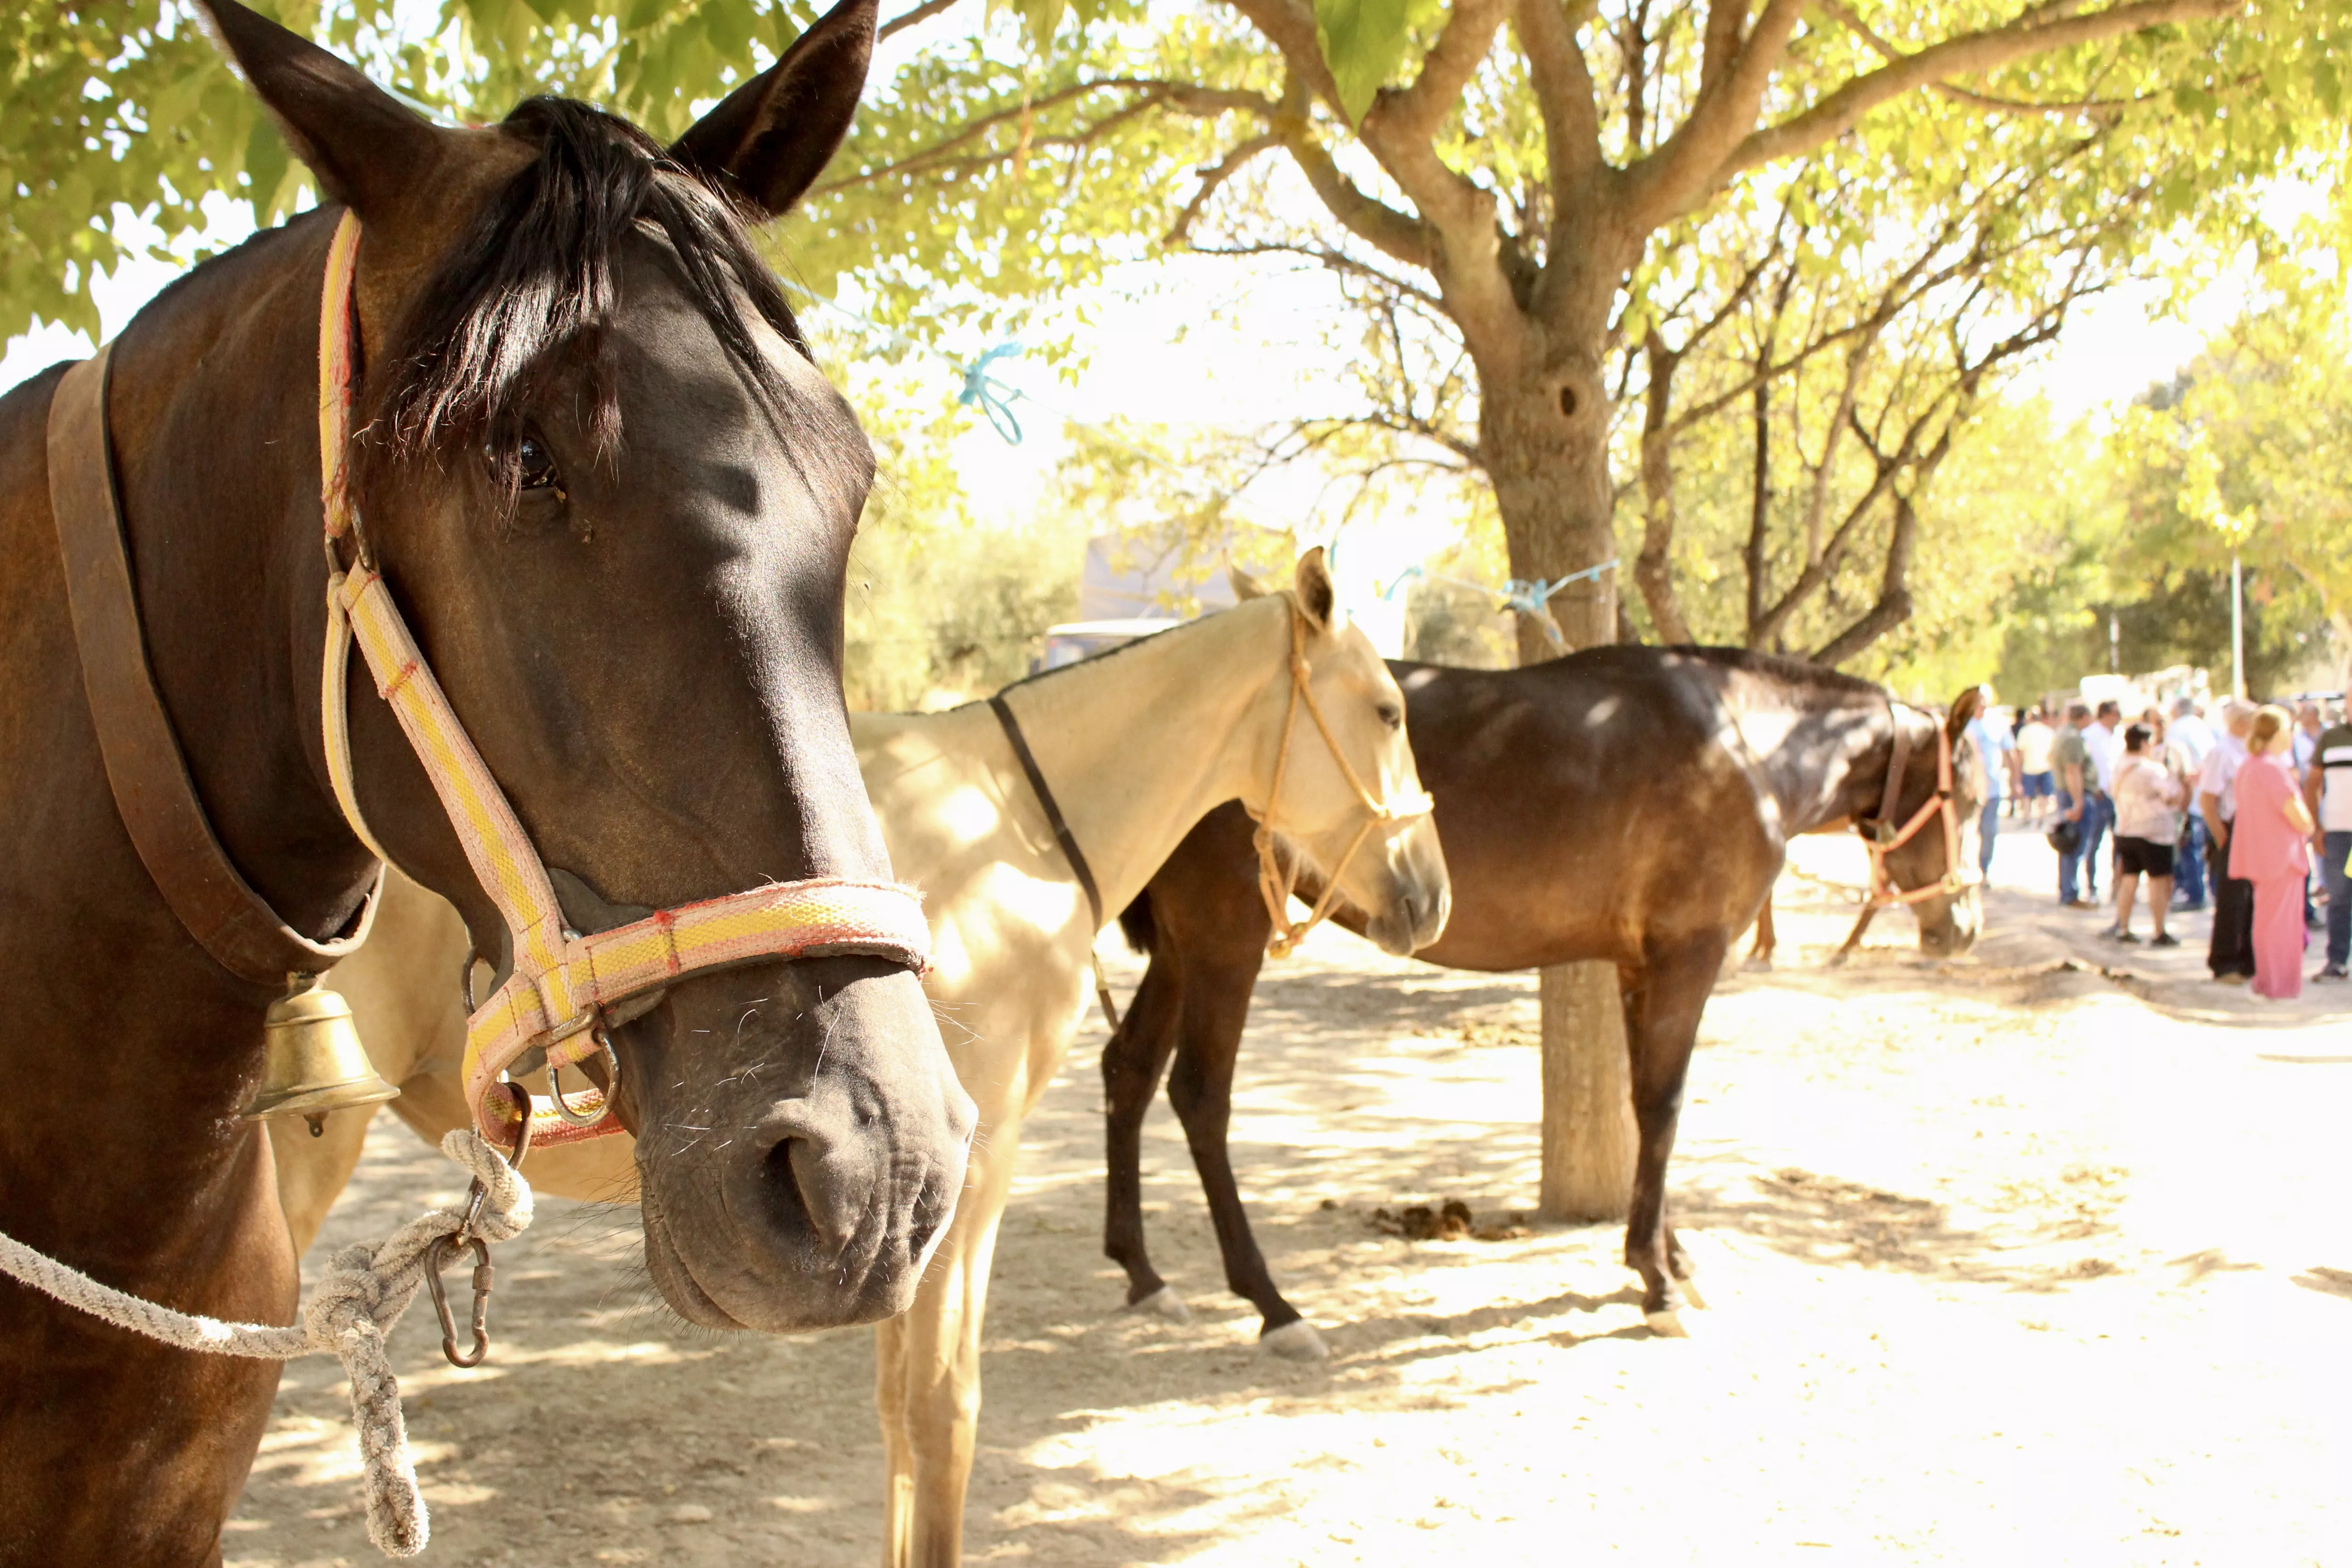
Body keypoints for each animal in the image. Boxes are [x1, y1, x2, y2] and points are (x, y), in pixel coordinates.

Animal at [282, 554, 1439, 1568]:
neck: (1013, 828)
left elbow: (898, 1407)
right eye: (1389, 709)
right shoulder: (972, 1168)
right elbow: (944, 1410)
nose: (1430, 892)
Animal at [1101, 644, 1985, 1354]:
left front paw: (1670, 1255)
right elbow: (1664, 1106)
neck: (1744, 744)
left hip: (1181, 949)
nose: (1964, 925)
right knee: (1199, 1096)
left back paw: (1143, 1275)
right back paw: (1274, 1305)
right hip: (1225, 940)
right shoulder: (1688, 956)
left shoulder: (1638, 966)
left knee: (1128, 1070)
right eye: (1973, 798)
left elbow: (1643, 1109)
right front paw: (1655, 1282)